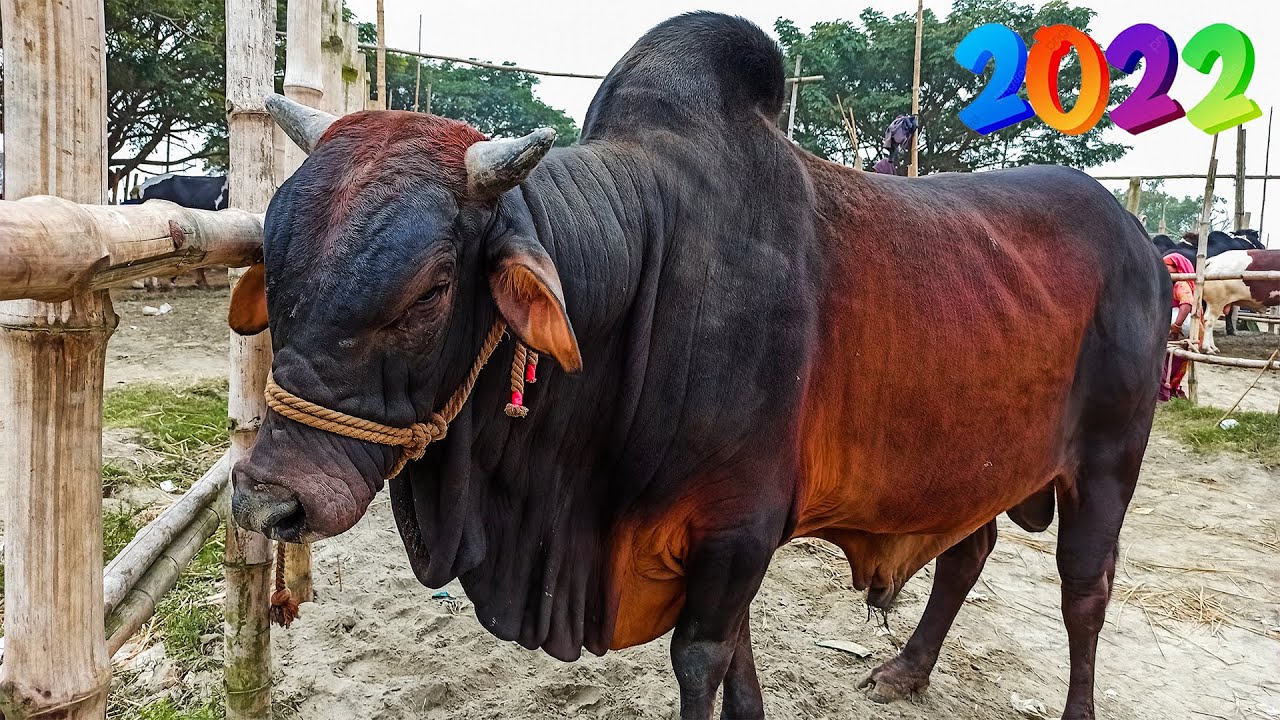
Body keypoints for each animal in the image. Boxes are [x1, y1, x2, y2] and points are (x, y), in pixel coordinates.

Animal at [227, 14, 1166, 720]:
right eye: (275, 260)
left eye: (431, 289)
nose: (272, 500)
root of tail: (1139, 240)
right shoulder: (725, 537)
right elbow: (740, 664)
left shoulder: (736, 527)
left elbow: (702, 661)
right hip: (970, 461)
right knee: (967, 554)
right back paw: (905, 670)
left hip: (1109, 461)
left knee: (1086, 593)